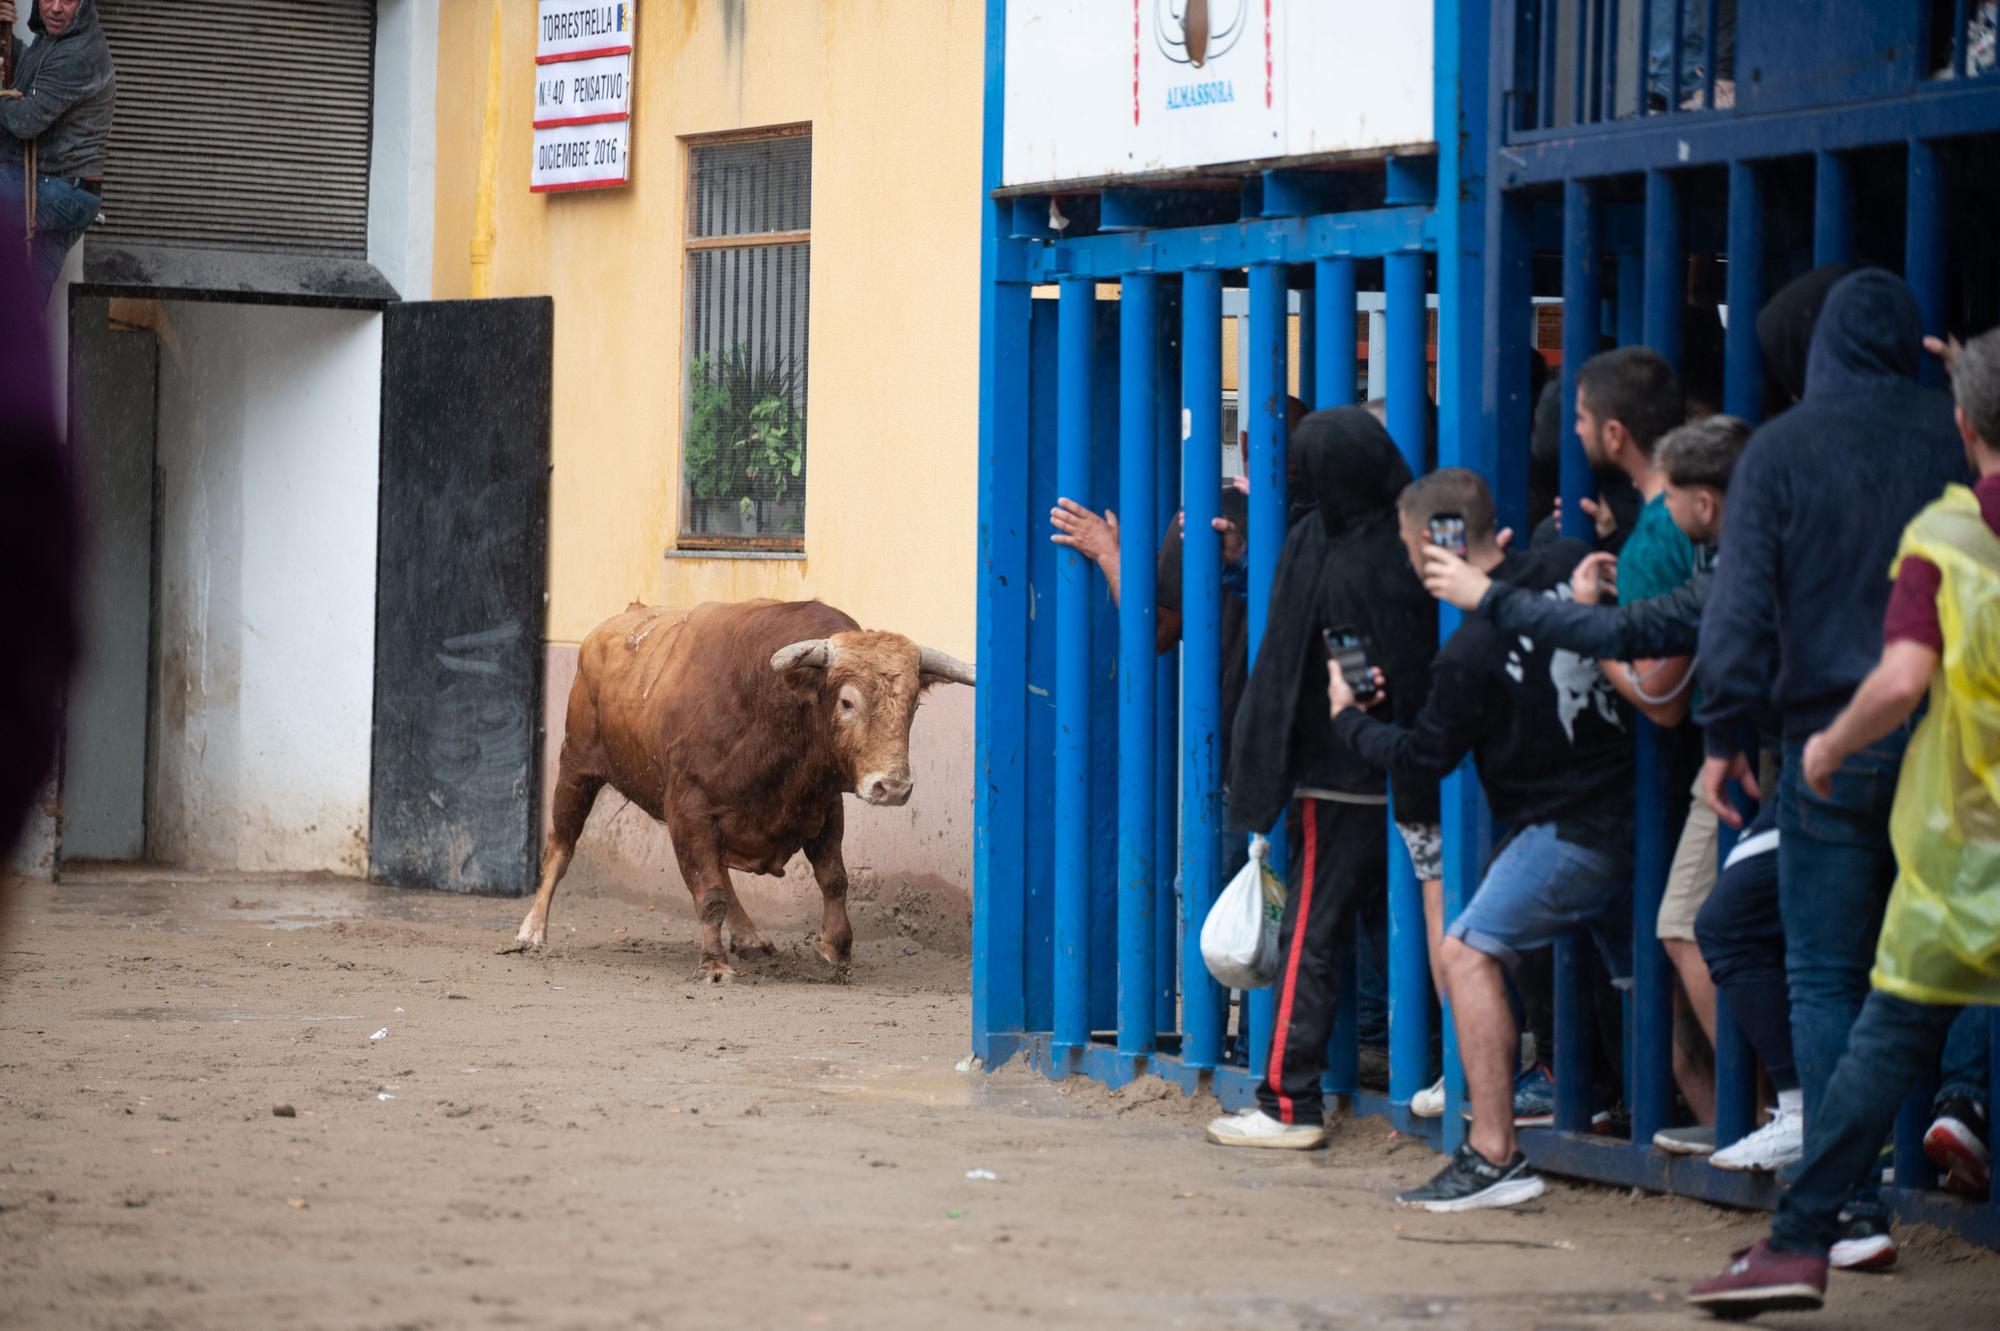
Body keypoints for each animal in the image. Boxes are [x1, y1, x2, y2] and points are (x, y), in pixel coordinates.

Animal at [500, 595, 968, 979]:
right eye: (847, 702)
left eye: (913, 704)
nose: (892, 787)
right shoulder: (689, 809)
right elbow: (709, 893)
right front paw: (713, 964)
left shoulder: (824, 807)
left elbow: (834, 880)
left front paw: (836, 950)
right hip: (576, 767)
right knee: (561, 847)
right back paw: (532, 930)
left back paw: (749, 936)